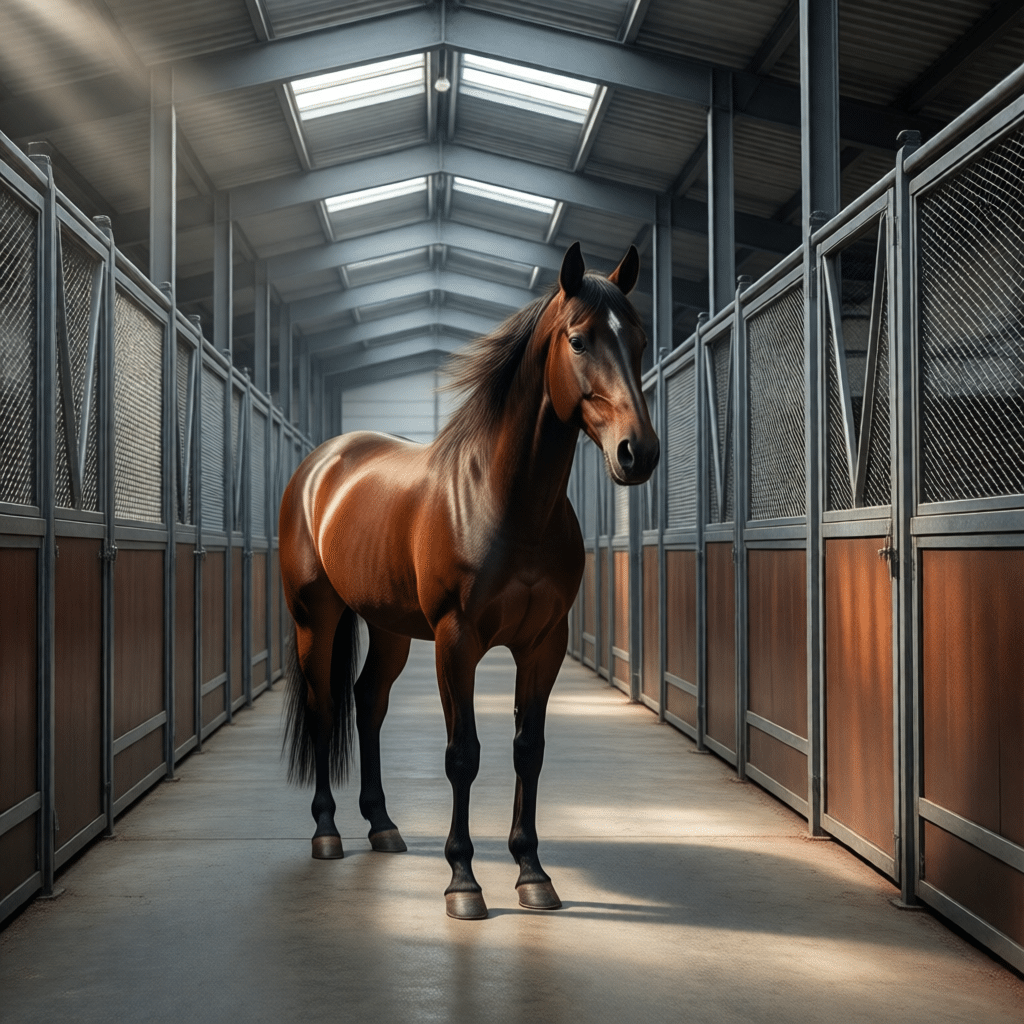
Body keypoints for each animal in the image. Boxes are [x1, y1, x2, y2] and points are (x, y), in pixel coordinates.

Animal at [279, 241, 659, 920]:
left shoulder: (544, 644)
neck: (508, 504)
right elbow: (463, 754)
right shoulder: (457, 643)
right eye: (579, 340)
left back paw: (382, 826)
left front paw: (533, 874)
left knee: (367, 703)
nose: (637, 453)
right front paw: (463, 882)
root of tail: (322, 464)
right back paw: (327, 832)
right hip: (315, 618)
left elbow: (527, 749)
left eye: (638, 340)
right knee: (326, 708)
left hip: (389, 628)